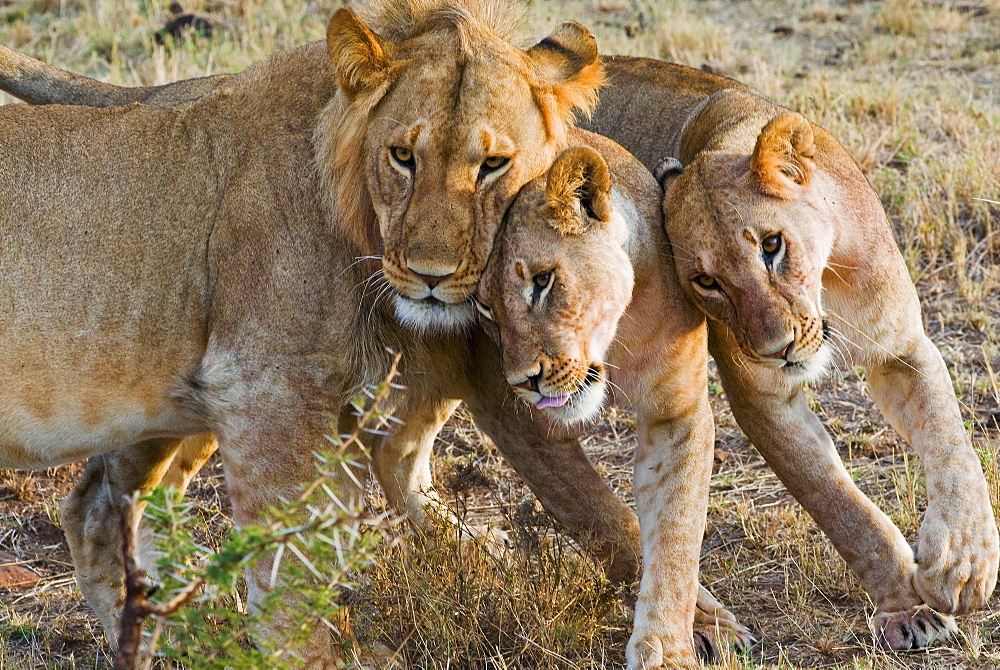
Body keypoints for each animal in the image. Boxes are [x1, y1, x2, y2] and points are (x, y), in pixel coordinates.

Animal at [476, 129, 752, 668]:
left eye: (543, 280)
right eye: (484, 306)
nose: (523, 381)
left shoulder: (678, 414)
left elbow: (676, 533)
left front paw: (668, 648)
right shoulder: (503, 403)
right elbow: (599, 514)